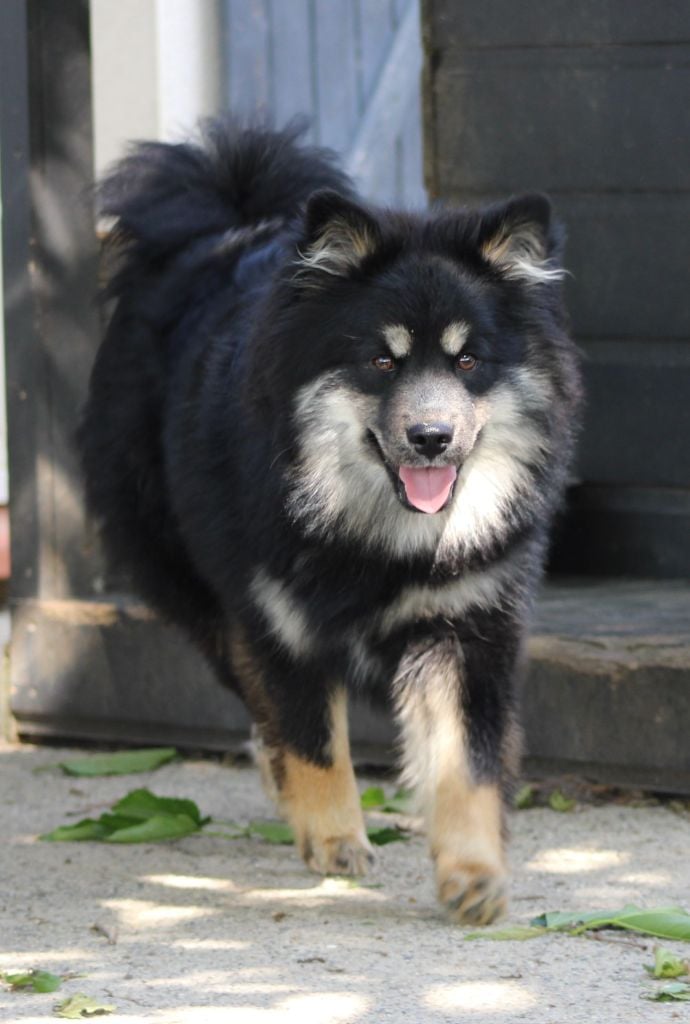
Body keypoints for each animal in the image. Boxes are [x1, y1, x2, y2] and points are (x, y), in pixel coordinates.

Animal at [78, 118, 581, 924]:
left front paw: (473, 873)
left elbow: (466, 761)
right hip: (196, 588)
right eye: (382, 361)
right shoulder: (279, 620)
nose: (432, 437)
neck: (377, 536)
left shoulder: (465, 628)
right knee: (254, 700)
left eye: (469, 362)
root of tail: (222, 228)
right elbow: (311, 734)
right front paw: (336, 837)